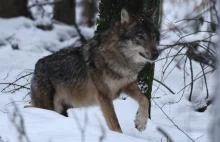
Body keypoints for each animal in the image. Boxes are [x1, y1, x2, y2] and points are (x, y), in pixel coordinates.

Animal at [28, 9, 161, 133]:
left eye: (153, 36)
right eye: (140, 36)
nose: (156, 54)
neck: (122, 60)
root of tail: (36, 66)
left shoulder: (127, 84)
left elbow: (145, 99)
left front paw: (141, 122)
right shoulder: (104, 95)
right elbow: (114, 123)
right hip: (48, 106)